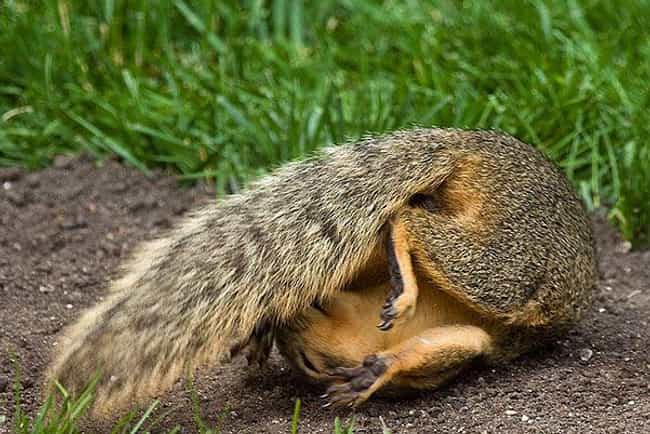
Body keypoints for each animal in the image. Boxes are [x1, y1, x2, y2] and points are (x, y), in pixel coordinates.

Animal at [43, 127, 596, 416]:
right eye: (309, 364)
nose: (290, 326)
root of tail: (475, 145)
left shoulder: (465, 338)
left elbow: (439, 347)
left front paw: (373, 372)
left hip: (510, 259)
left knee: (402, 219)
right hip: (512, 263)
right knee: (404, 217)